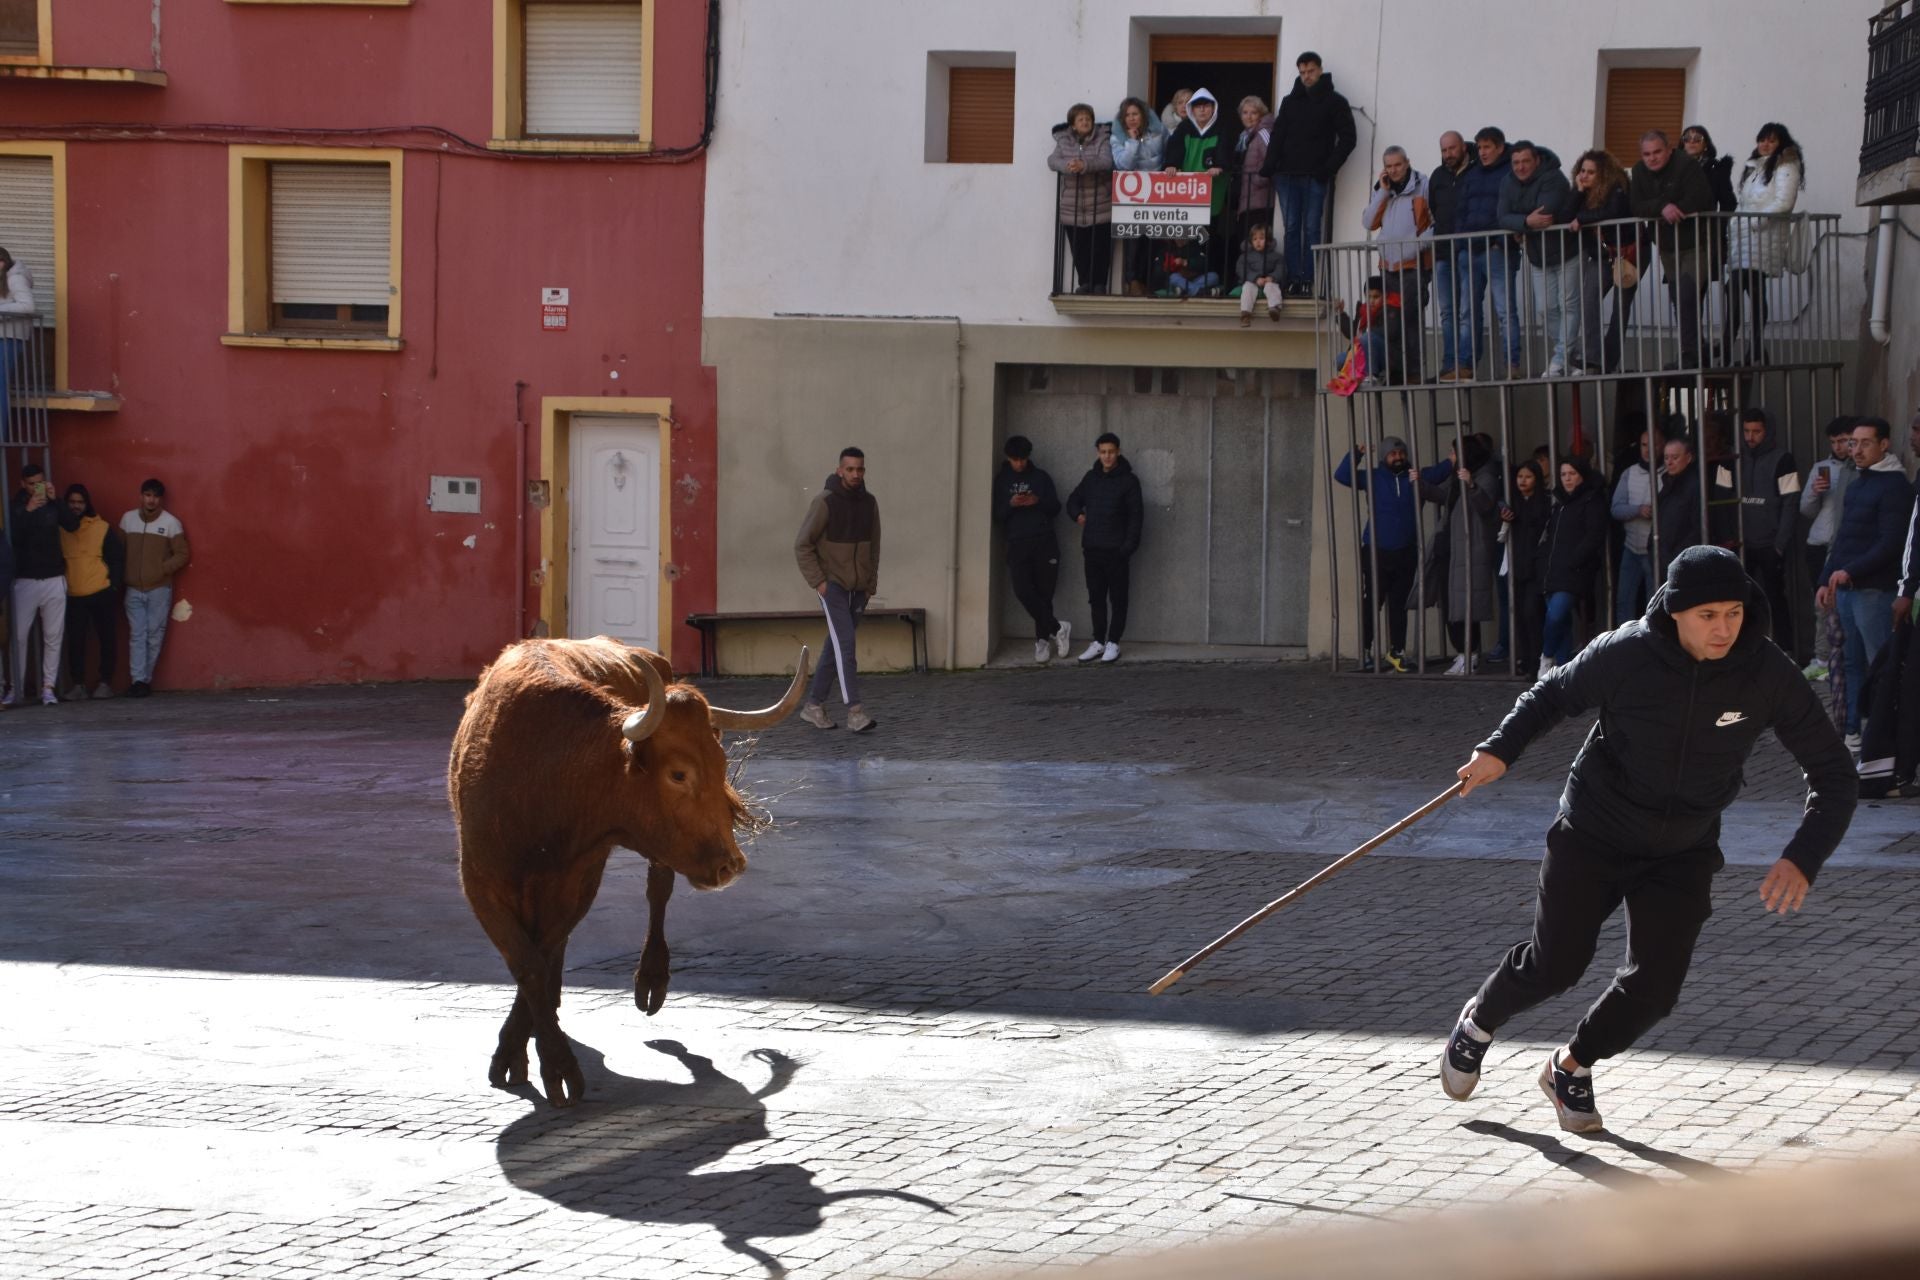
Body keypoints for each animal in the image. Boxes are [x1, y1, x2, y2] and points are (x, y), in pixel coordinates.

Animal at [451, 637, 810, 1105]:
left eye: (722, 766)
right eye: (678, 773)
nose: (730, 865)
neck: (543, 776)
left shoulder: (579, 879)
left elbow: (541, 954)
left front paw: (547, 1060)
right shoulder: (478, 879)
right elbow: (528, 962)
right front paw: (529, 1055)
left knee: (658, 889)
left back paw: (651, 977)